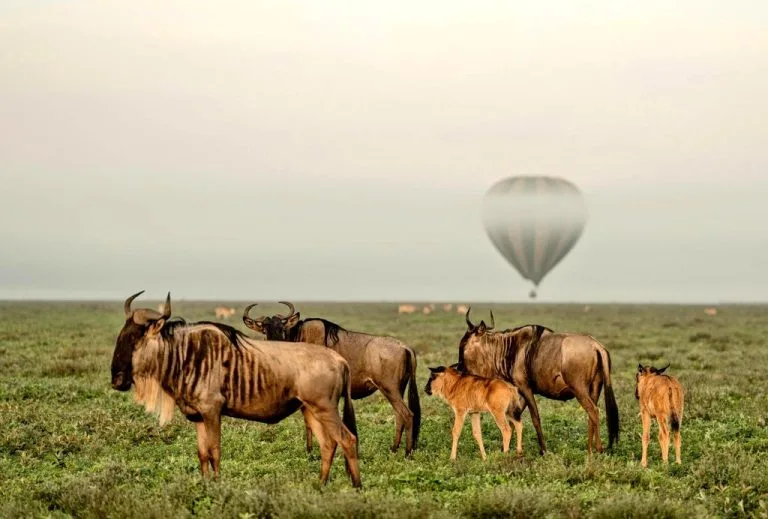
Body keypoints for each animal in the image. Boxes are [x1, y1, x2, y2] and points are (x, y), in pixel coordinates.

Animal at [111, 291, 361, 487]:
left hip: (326, 409)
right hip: (311, 411)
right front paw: (206, 485)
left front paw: (218, 486)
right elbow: (202, 454)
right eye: (120, 337)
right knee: (328, 445)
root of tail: (339, 360)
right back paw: (320, 486)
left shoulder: (212, 412)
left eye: (136, 339)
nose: (116, 380)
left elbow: (214, 451)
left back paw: (357, 487)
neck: (186, 355)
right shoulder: (198, 417)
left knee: (347, 440)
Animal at [243, 301, 421, 457]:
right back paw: (394, 449)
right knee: (399, 416)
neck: (300, 337)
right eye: (264, 329)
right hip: (397, 390)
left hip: (389, 389)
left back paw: (407, 453)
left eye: (283, 328)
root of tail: (404, 347)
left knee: (407, 415)